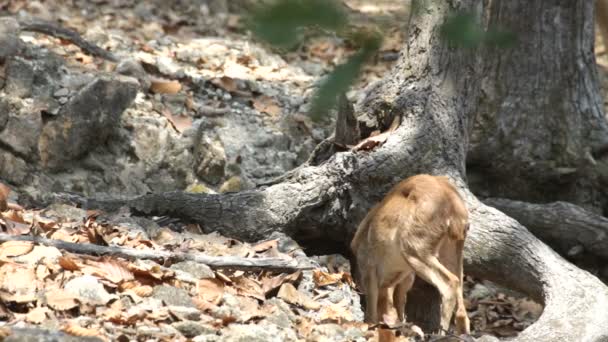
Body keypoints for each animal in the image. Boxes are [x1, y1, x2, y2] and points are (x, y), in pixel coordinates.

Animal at [346, 175, 470, 336]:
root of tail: (453, 205)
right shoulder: (406, 277)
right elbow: (399, 302)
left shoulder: (369, 269)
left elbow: (373, 308)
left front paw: (371, 327)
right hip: (452, 248)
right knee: (460, 291)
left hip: (414, 247)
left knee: (450, 283)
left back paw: (440, 334)